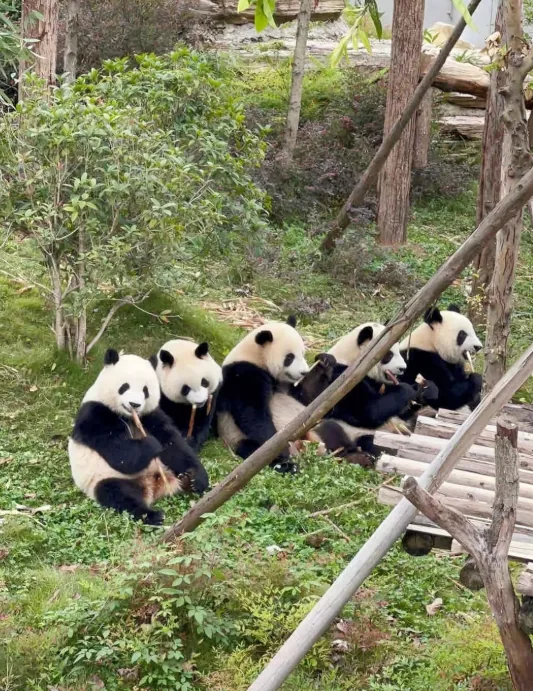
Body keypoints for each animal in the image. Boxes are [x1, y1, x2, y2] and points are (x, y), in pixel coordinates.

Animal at [68, 349, 209, 525]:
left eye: (145, 390)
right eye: (124, 386)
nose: (134, 404)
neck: (128, 416)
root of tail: (153, 485)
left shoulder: (149, 414)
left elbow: (173, 442)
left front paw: (197, 477)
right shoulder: (94, 415)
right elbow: (119, 452)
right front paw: (151, 444)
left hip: (166, 467)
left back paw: (187, 480)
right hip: (104, 478)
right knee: (117, 494)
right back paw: (152, 515)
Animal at [216, 316, 310, 474]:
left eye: (303, 353)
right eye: (290, 357)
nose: (304, 372)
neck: (256, 356)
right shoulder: (244, 374)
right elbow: (253, 414)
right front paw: (280, 450)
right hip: (234, 435)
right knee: (252, 450)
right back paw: (287, 465)